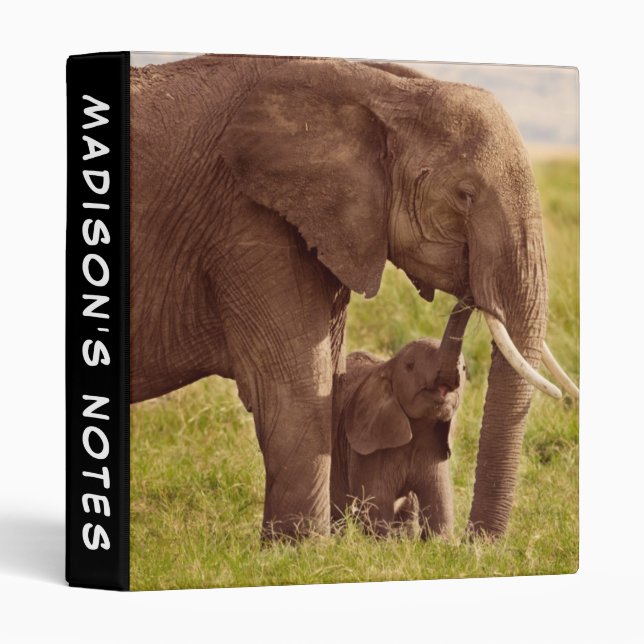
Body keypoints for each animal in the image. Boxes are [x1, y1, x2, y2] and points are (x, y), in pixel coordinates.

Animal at [330, 301, 471, 538]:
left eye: (464, 368)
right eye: (410, 366)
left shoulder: (435, 448)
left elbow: (439, 504)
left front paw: (439, 542)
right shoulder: (369, 449)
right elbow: (377, 504)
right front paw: (381, 541)